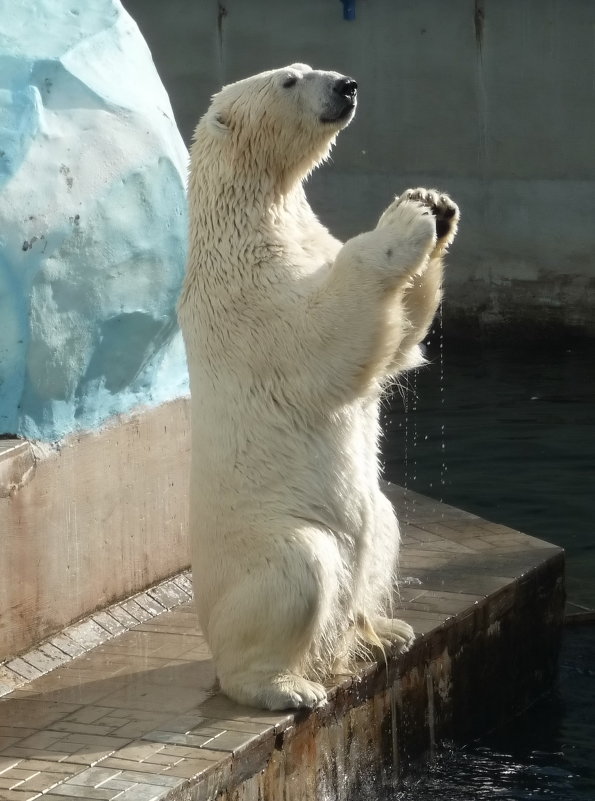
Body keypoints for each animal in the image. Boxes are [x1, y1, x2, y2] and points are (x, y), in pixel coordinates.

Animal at [179, 65, 458, 708]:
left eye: (309, 68)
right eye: (290, 80)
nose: (347, 86)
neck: (248, 218)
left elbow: (397, 349)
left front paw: (435, 204)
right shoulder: (251, 297)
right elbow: (326, 337)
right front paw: (406, 221)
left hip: (373, 520)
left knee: (383, 527)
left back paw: (385, 628)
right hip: (265, 537)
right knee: (299, 569)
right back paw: (288, 687)